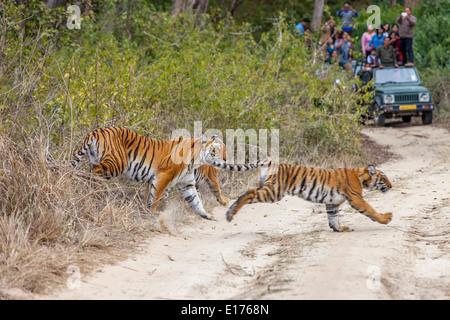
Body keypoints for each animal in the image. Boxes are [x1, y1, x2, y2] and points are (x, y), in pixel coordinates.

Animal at [72, 126, 229, 221]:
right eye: (215, 150)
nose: (226, 159)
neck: (195, 160)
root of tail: (97, 130)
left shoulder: (187, 184)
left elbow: (196, 201)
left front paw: (207, 215)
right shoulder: (163, 176)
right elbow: (156, 196)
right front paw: (152, 213)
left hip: (100, 159)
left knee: (92, 171)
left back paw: (93, 193)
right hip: (117, 163)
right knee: (94, 171)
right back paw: (92, 191)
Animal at [224, 164, 390, 231]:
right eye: (384, 177)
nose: (392, 185)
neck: (360, 176)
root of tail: (270, 162)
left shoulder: (332, 203)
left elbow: (333, 218)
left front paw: (340, 229)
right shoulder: (356, 198)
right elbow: (370, 210)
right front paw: (386, 218)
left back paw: (230, 212)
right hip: (273, 192)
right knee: (249, 193)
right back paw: (230, 214)